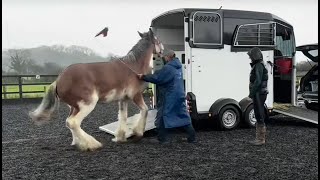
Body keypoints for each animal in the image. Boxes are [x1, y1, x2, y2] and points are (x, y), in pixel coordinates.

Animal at [29, 28, 164, 152]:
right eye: (157, 40)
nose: (162, 50)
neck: (133, 67)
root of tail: (59, 79)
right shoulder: (136, 96)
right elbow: (144, 110)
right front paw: (138, 133)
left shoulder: (123, 99)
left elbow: (123, 117)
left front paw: (120, 137)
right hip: (87, 104)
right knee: (73, 122)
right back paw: (92, 144)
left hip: (74, 107)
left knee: (69, 122)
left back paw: (78, 142)